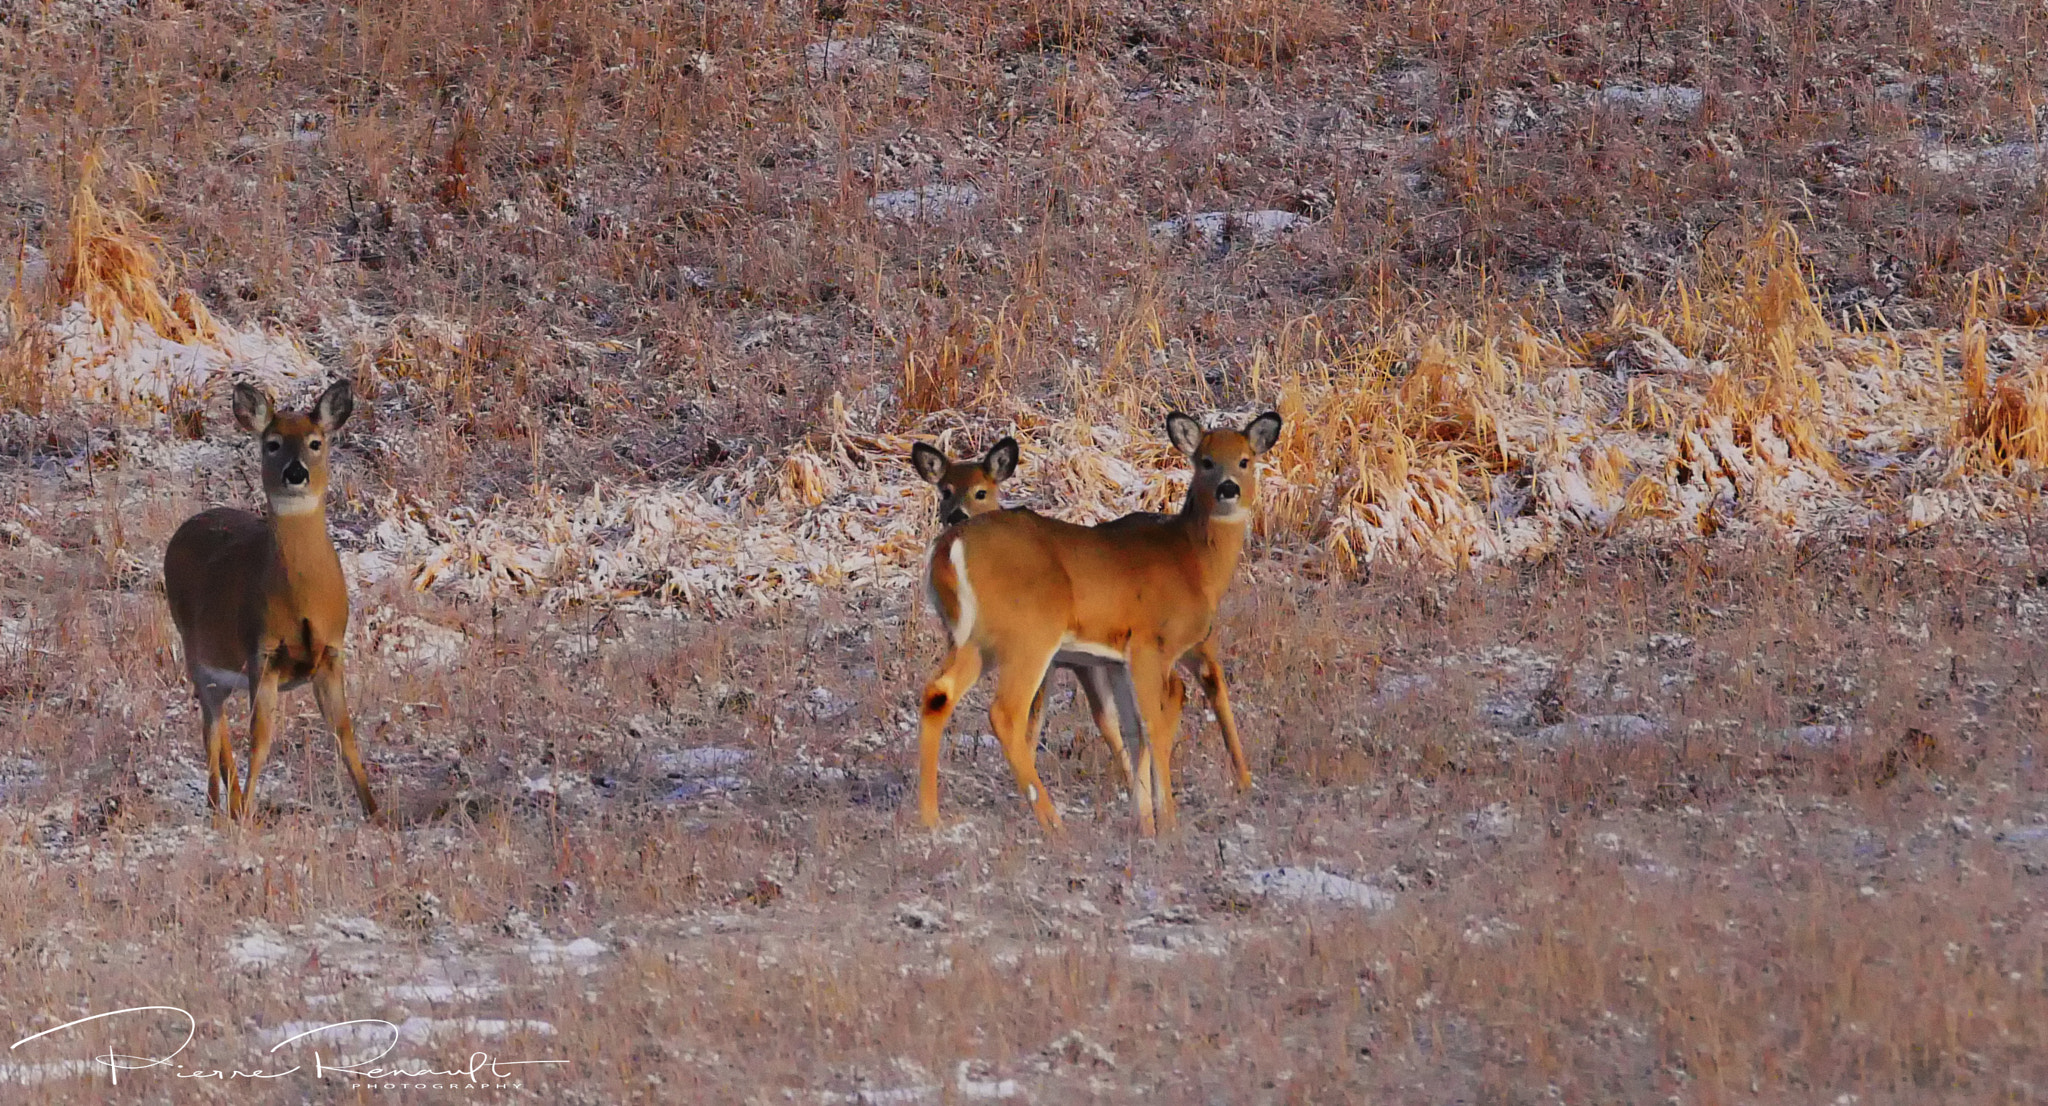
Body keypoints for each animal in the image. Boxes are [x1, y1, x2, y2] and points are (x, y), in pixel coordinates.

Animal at [161, 380, 378, 819]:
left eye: (315, 442)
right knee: (211, 727)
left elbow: (344, 734)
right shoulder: (262, 652)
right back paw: (221, 803)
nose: (296, 473)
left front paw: (376, 811)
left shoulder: (332, 652)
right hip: (196, 654)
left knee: (217, 725)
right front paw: (247, 814)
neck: (303, 603)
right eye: (273, 443)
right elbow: (260, 740)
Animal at [917, 409, 1277, 835]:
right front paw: (1167, 822)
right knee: (1006, 712)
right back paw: (1053, 822)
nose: (1228, 489)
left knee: (938, 693)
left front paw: (1144, 823)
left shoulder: (1116, 659)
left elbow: (1133, 729)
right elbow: (1154, 725)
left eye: (1245, 460)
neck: (1192, 561)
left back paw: (929, 816)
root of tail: (951, 546)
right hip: (1030, 635)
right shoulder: (1150, 645)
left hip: (973, 641)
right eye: (1205, 461)